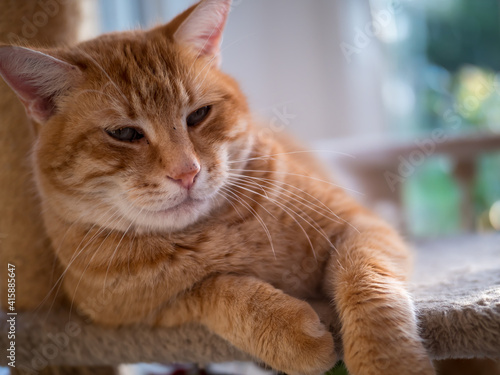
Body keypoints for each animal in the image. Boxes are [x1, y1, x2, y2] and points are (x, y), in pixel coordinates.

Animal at [0, 1, 434, 374]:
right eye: (124, 134)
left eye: (198, 115)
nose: (186, 173)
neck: (215, 234)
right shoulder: (140, 317)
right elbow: (215, 289)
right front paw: (288, 331)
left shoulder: (361, 227)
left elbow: (366, 285)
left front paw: (390, 362)